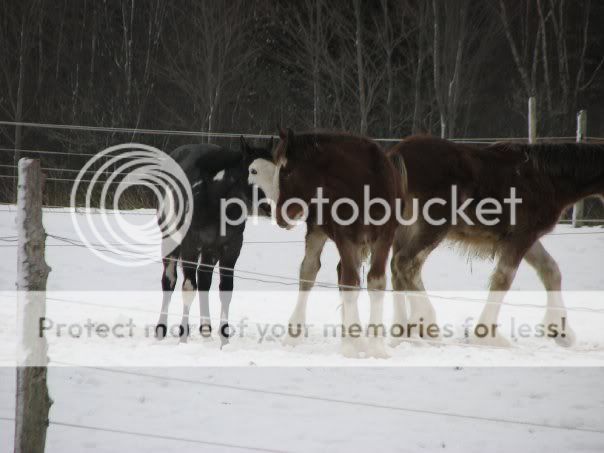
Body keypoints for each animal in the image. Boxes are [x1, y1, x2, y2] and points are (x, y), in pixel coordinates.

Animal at [155, 136, 272, 344]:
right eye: (253, 170)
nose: (271, 205)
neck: (214, 198)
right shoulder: (190, 246)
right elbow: (188, 288)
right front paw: (183, 337)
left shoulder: (231, 248)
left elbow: (225, 290)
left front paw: (224, 340)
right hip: (170, 241)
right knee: (169, 281)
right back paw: (161, 329)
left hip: (210, 250)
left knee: (204, 280)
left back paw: (206, 330)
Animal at [272, 128, 406, 356]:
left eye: (286, 171)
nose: (281, 216)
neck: (365, 187)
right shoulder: (345, 237)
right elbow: (349, 283)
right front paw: (350, 347)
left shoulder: (384, 238)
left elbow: (375, 283)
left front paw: (375, 347)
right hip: (317, 231)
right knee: (309, 272)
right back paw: (295, 333)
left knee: (341, 272)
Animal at [386, 134, 604, 346]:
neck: (546, 180)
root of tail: (399, 152)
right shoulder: (522, 238)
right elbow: (504, 279)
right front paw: (487, 335)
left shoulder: (526, 239)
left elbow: (551, 271)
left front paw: (560, 331)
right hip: (432, 227)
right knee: (407, 264)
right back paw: (426, 325)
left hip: (405, 230)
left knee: (397, 270)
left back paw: (401, 333)